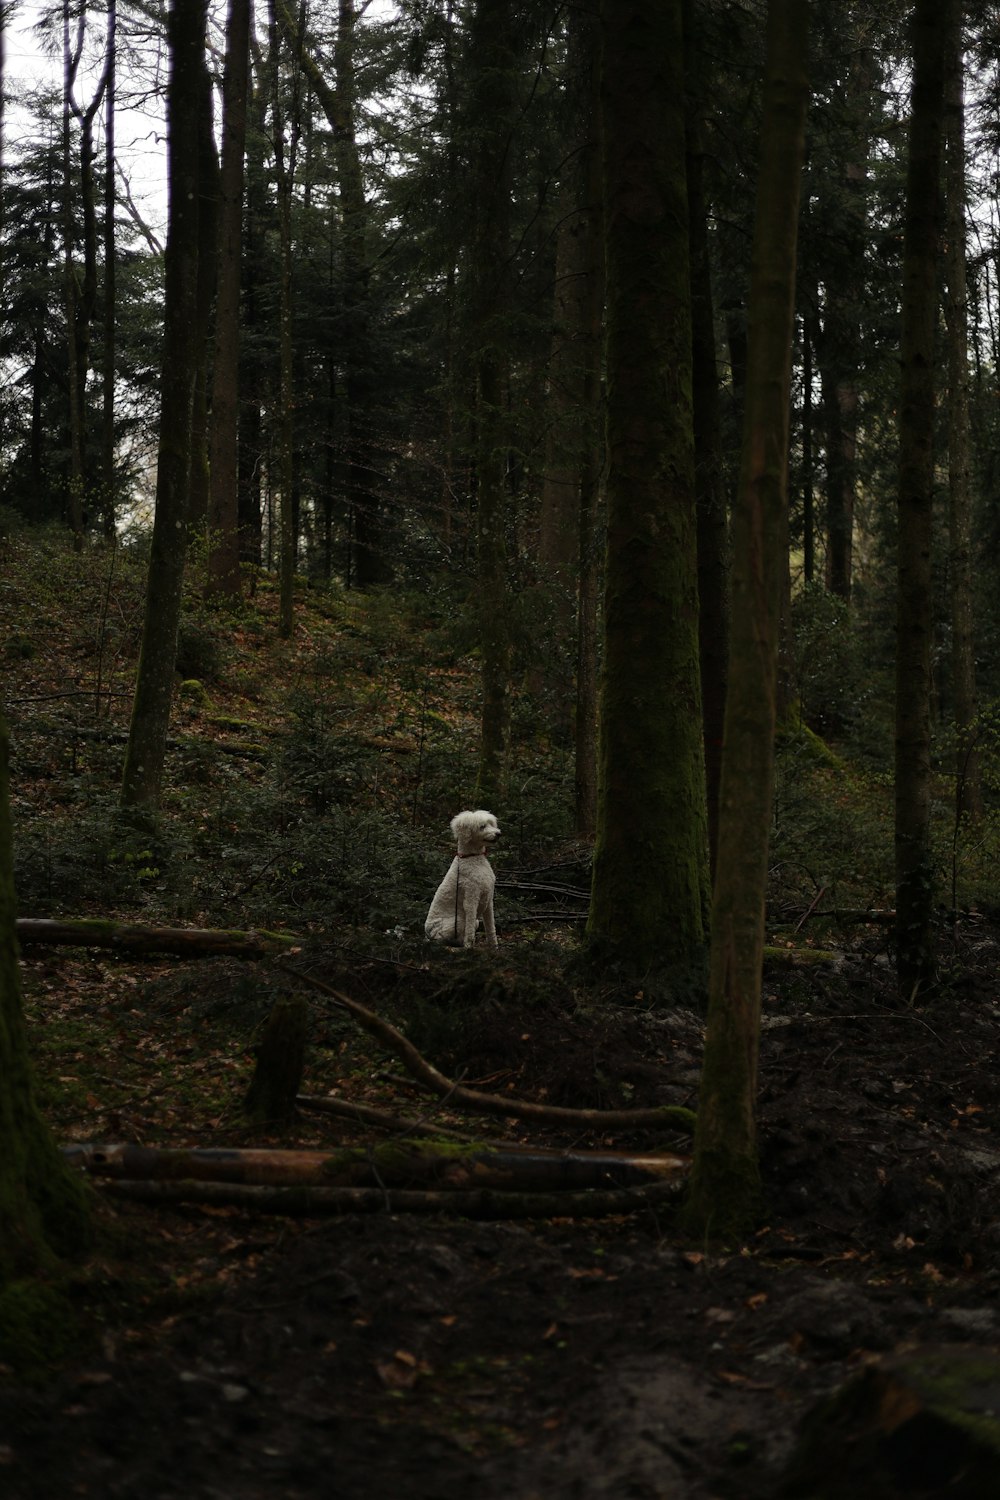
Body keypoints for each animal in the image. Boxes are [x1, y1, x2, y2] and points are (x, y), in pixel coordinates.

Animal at [425, 810, 500, 948]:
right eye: (482, 826)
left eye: (491, 824)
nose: (498, 834)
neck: (473, 857)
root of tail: (427, 934)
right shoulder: (471, 897)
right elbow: (469, 927)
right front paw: (469, 946)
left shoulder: (488, 899)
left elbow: (491, 926)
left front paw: (494, 946)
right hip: (456, 921)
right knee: (442, 938)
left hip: (476, 921)